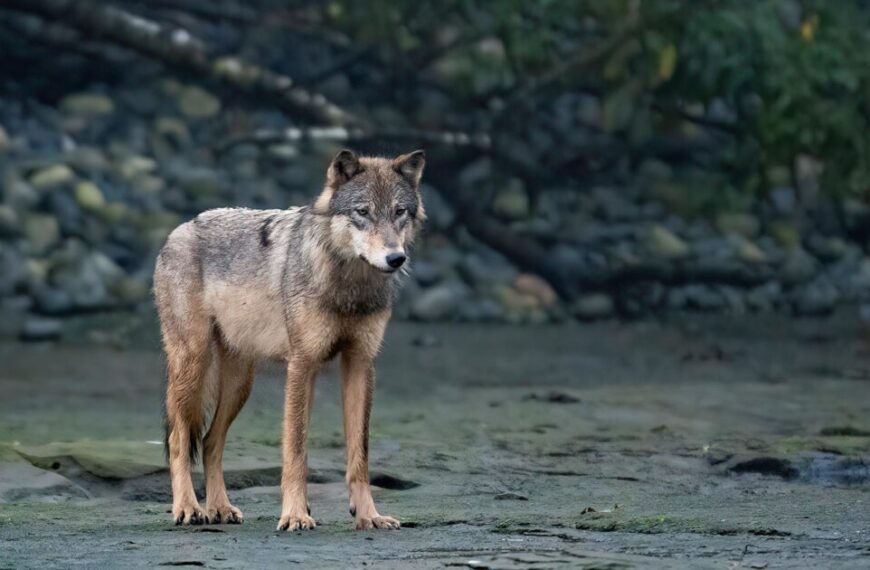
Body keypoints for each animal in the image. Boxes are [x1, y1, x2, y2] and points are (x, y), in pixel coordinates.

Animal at [153, 148, 425, 531]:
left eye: (399, 212)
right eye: (363, 212)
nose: (395, 258)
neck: (349, 286)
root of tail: (180, 228)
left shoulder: (360, 363)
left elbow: (360, 454)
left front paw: (369, 515)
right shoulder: (301, 364)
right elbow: (296, 449)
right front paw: (296, 515)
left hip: (240, 385)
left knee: (209, 442)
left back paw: (220, 508)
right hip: (192, 366)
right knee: (179, 440)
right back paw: (189, 508)